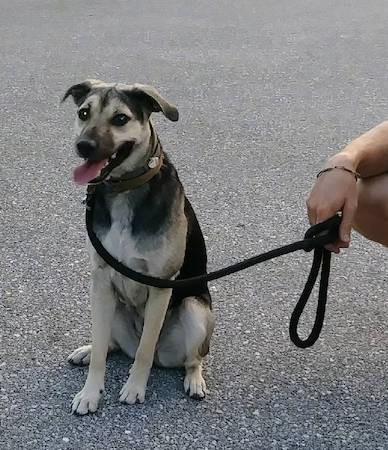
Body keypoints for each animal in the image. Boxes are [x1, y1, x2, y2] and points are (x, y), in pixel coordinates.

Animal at [63, 80, 215, 414]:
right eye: (83, 113)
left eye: (120, 118)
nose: (83, 146)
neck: (124, 190)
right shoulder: (101, 278)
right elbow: (100, 353)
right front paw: (90, 393)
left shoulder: (161, 284)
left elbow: (146, 348)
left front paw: (134, 388)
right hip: (109, 304)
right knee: (109, 343)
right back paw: (89, 350)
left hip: (195, 310)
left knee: (190, 357)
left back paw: (194, 379)